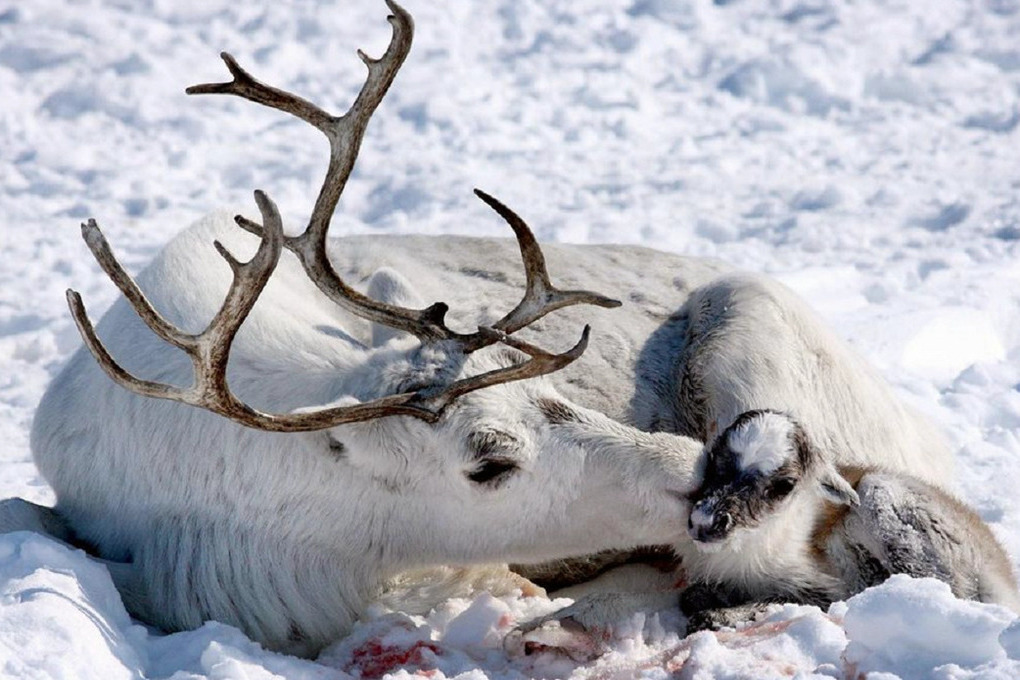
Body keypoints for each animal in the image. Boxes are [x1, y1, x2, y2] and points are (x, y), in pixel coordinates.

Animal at [677, 409, 1020, 632]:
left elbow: (780, 599)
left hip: (882, 495)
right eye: (713, 459)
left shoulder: (827, 586)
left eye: (784, 485)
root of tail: (1001, 575)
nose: (706, 522)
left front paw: (718, 616)